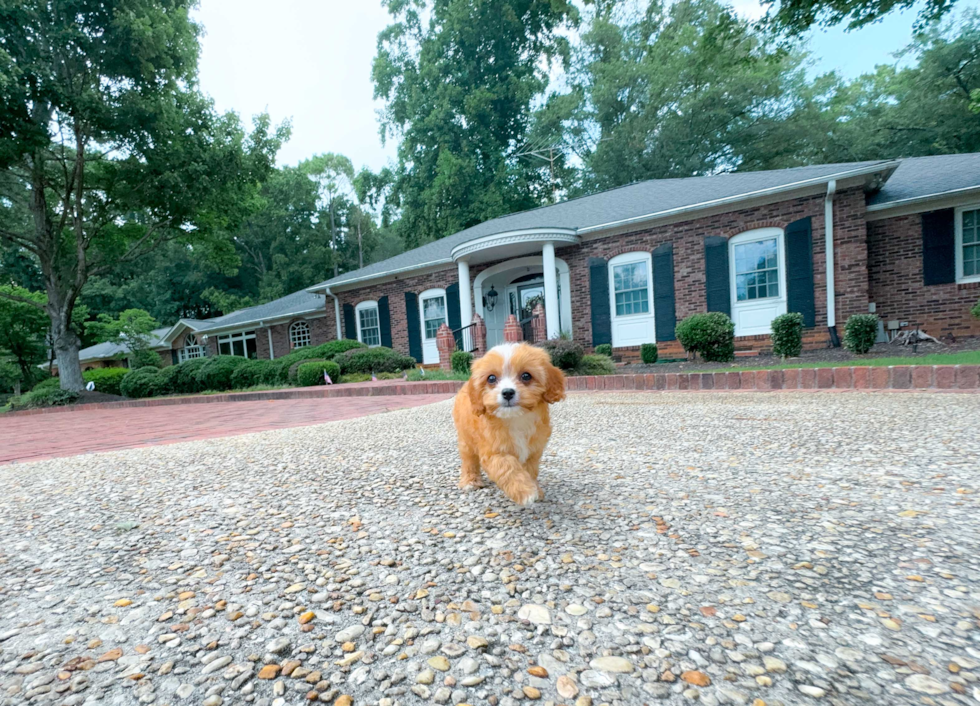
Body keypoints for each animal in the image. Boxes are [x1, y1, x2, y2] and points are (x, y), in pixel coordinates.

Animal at [452, 342, 568, 504]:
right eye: (491, 378)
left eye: (526, 376)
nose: (507, 392)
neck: (515, 418)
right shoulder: (493, 451)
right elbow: (507, 467)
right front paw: (525, 491)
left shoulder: (533, 451)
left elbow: (530, 470)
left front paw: (534, 488)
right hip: (466, 438)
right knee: (469, 460)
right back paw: (470, 481)